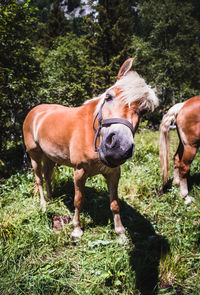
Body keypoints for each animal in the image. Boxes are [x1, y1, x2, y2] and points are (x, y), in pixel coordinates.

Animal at [23, 57, 158, 240]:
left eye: (144, 111)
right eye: (108, 96)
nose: (118, 146)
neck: (92, 131)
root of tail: (35, 112)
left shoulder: (114, 173)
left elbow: (114, 204)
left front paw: (121, 233)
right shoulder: (79, 171)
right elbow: (78, 200)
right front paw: (76, 230)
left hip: (50, 156)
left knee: (47, 175)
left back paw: (51, 199)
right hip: (34, 155)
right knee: (38, 179)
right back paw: (44, 206)